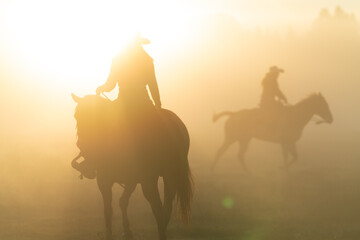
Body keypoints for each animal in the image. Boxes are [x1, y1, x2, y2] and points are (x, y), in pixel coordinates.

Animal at [71, 94, 194, 240]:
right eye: (76, 116)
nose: (81, 144)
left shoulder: (104, 180)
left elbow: (108, 209)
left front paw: (111, 233)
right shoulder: (131, 180)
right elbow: (122, 202)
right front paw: (127, 230)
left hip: (149, 180)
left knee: (157, 206)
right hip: (170, 176)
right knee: (166, 205)